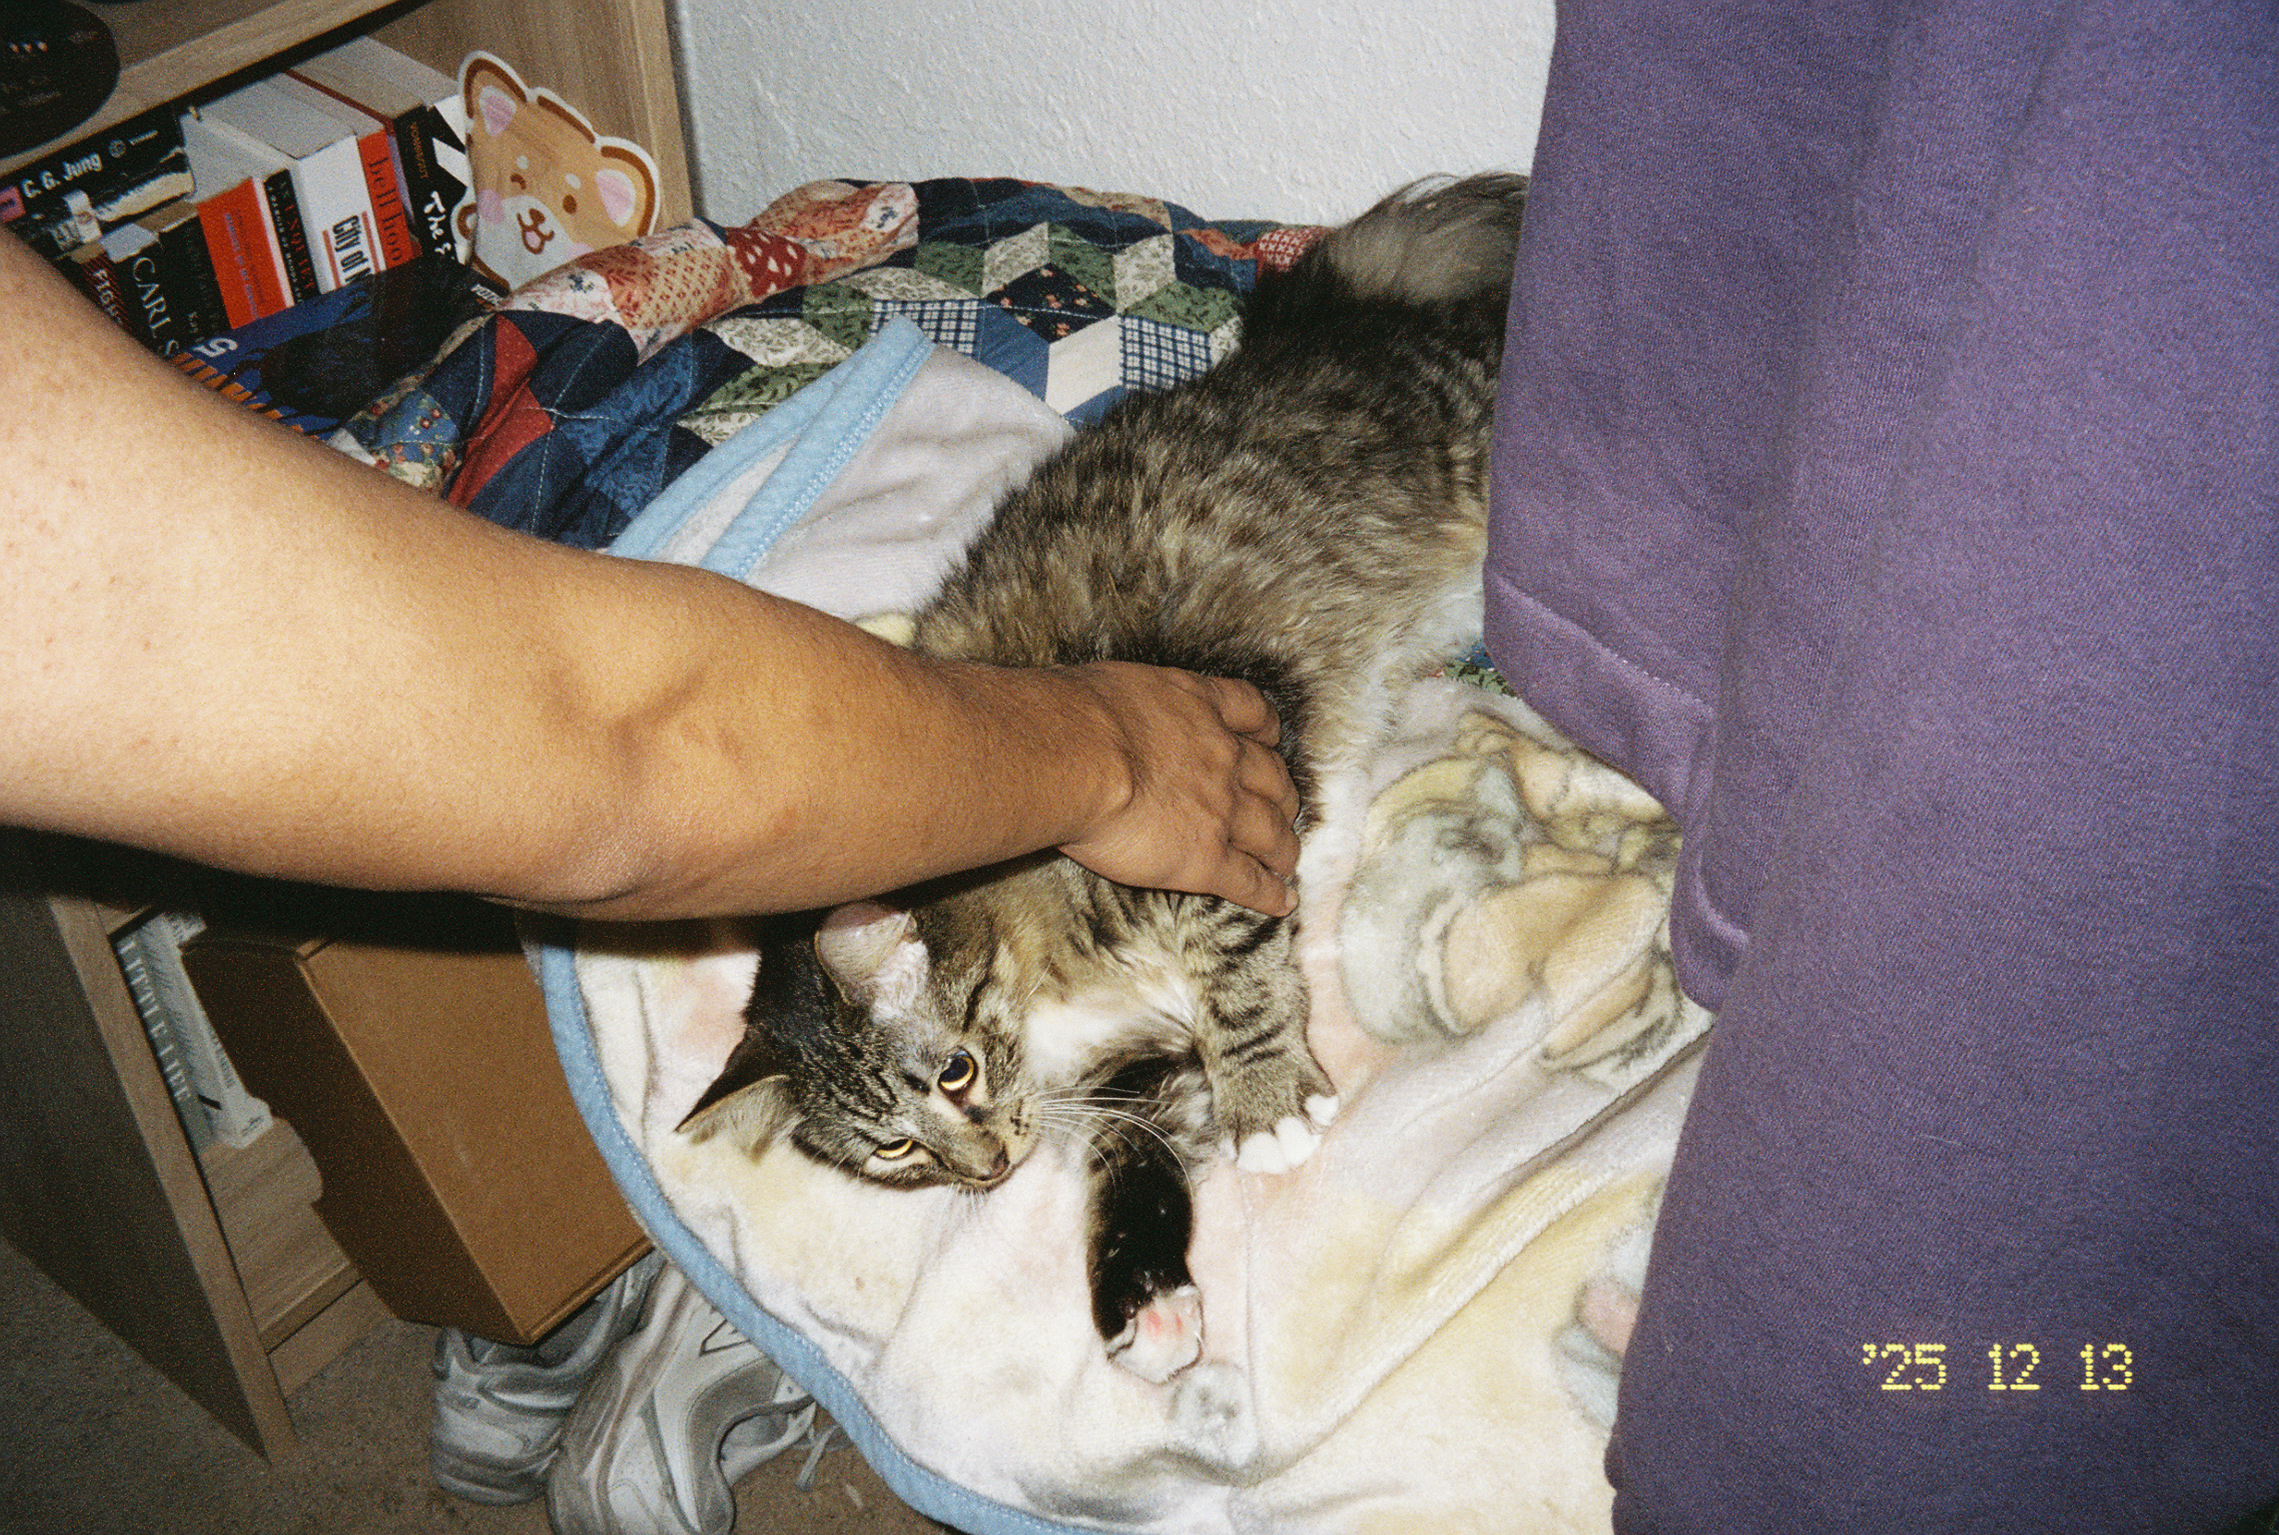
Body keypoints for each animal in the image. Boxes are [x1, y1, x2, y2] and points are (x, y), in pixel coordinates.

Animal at [680, 173, 1527, 1381]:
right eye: (893, 1150)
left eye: (952, 1073)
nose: (985, 1169)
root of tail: (1324, 333)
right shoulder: (1118, 1076)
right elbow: (1129, 1170)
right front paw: (1146, 1300)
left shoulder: (1229, 800)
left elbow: (1237, 983)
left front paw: (1267, 1102)